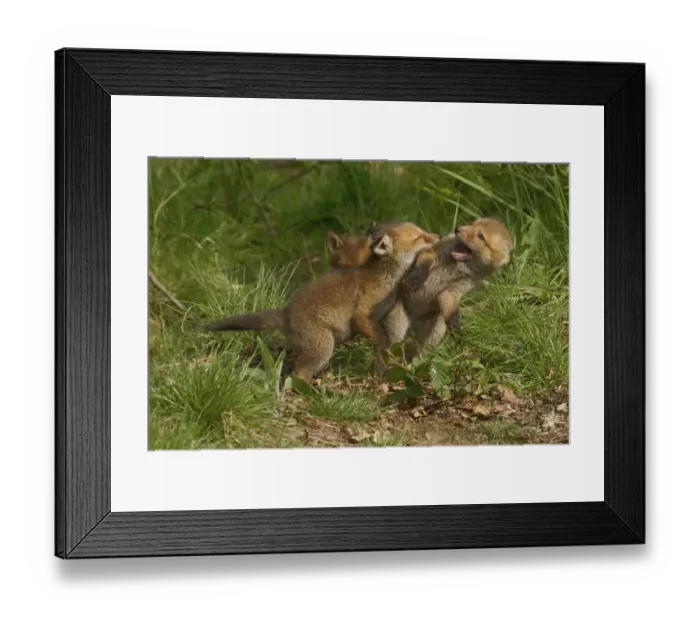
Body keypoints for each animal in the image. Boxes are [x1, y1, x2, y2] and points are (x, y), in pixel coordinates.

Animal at [202, 222, 439, 382]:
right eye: (418, 238)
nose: (437, 236)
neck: (385, 279)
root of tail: (286, 311)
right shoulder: (362, 313)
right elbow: (378, 337)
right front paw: (384, 347)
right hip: (322, 348)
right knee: (296, 376)